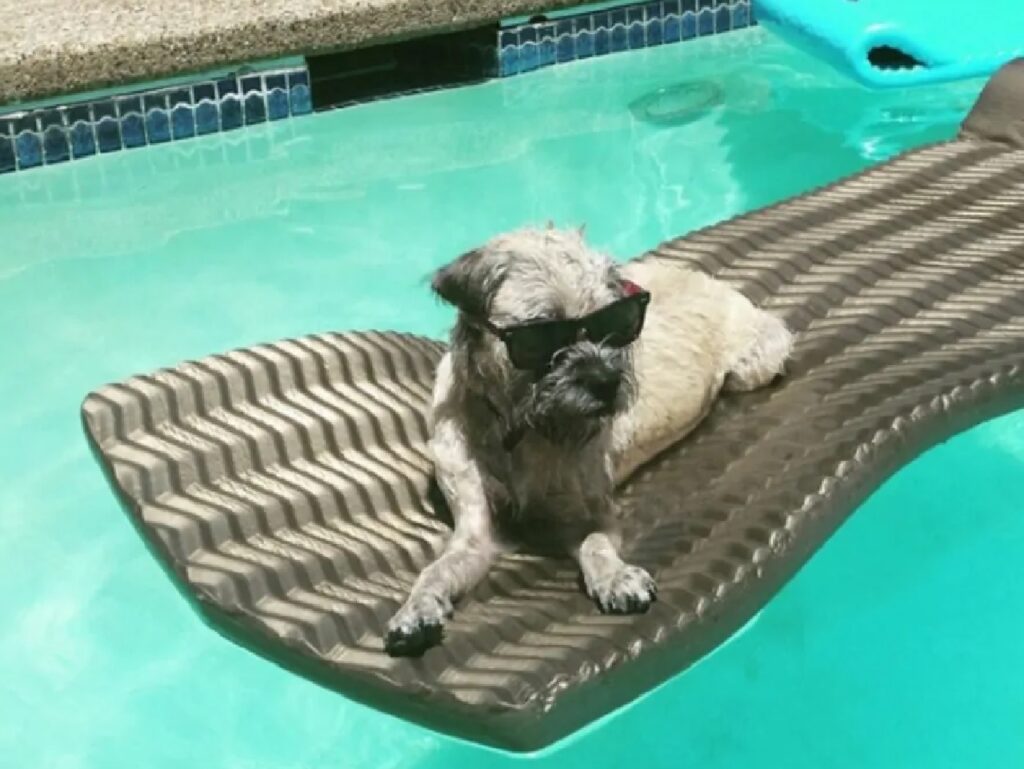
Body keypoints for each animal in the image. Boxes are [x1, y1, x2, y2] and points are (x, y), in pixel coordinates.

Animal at [385, 227, 790, 655]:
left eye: (612, 326)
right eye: (543, 333)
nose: (607, 382)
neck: (521, 428)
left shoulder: (592, 514)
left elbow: (596, 544)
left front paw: (614, 577)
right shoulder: (476, 535)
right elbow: (436, 570)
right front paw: (415, 609)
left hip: (753, 366)